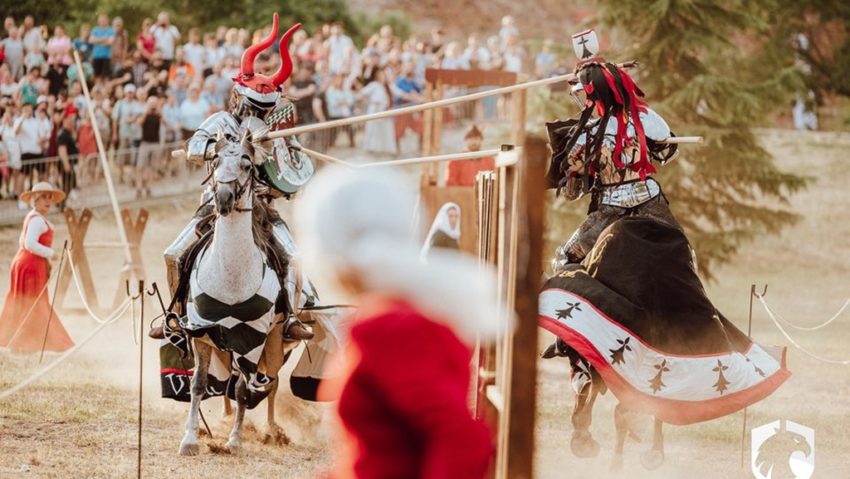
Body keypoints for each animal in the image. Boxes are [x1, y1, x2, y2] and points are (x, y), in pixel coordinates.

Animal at [177, 135, 296, 458]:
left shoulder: (252, 340)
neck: (231, 273)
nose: (223, 198)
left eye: (246, 165)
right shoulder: (202, 334)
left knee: (271, 383)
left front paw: (234, 440)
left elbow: (244, 388)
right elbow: (198, 384)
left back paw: (270, 430)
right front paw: (190, 439)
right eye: (216, 161)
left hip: (274, 344)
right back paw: (227, 416)